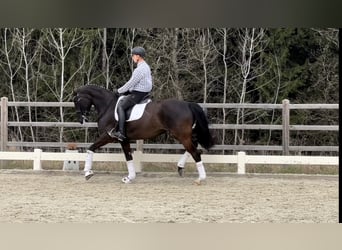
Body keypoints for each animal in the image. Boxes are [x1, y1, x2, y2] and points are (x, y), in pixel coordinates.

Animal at [73, 85, 214, 185]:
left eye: (76, 101)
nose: (81, 120)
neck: (108, 106)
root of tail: (187, 104)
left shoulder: (108, 136)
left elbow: (90, 148)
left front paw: (87, 173)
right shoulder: (124, 140)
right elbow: (128, 157)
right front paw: (129, 178)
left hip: (181, 135)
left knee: (195, 152)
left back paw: (200, 179)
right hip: (185, 134)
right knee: (194, 147)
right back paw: (180, 167)